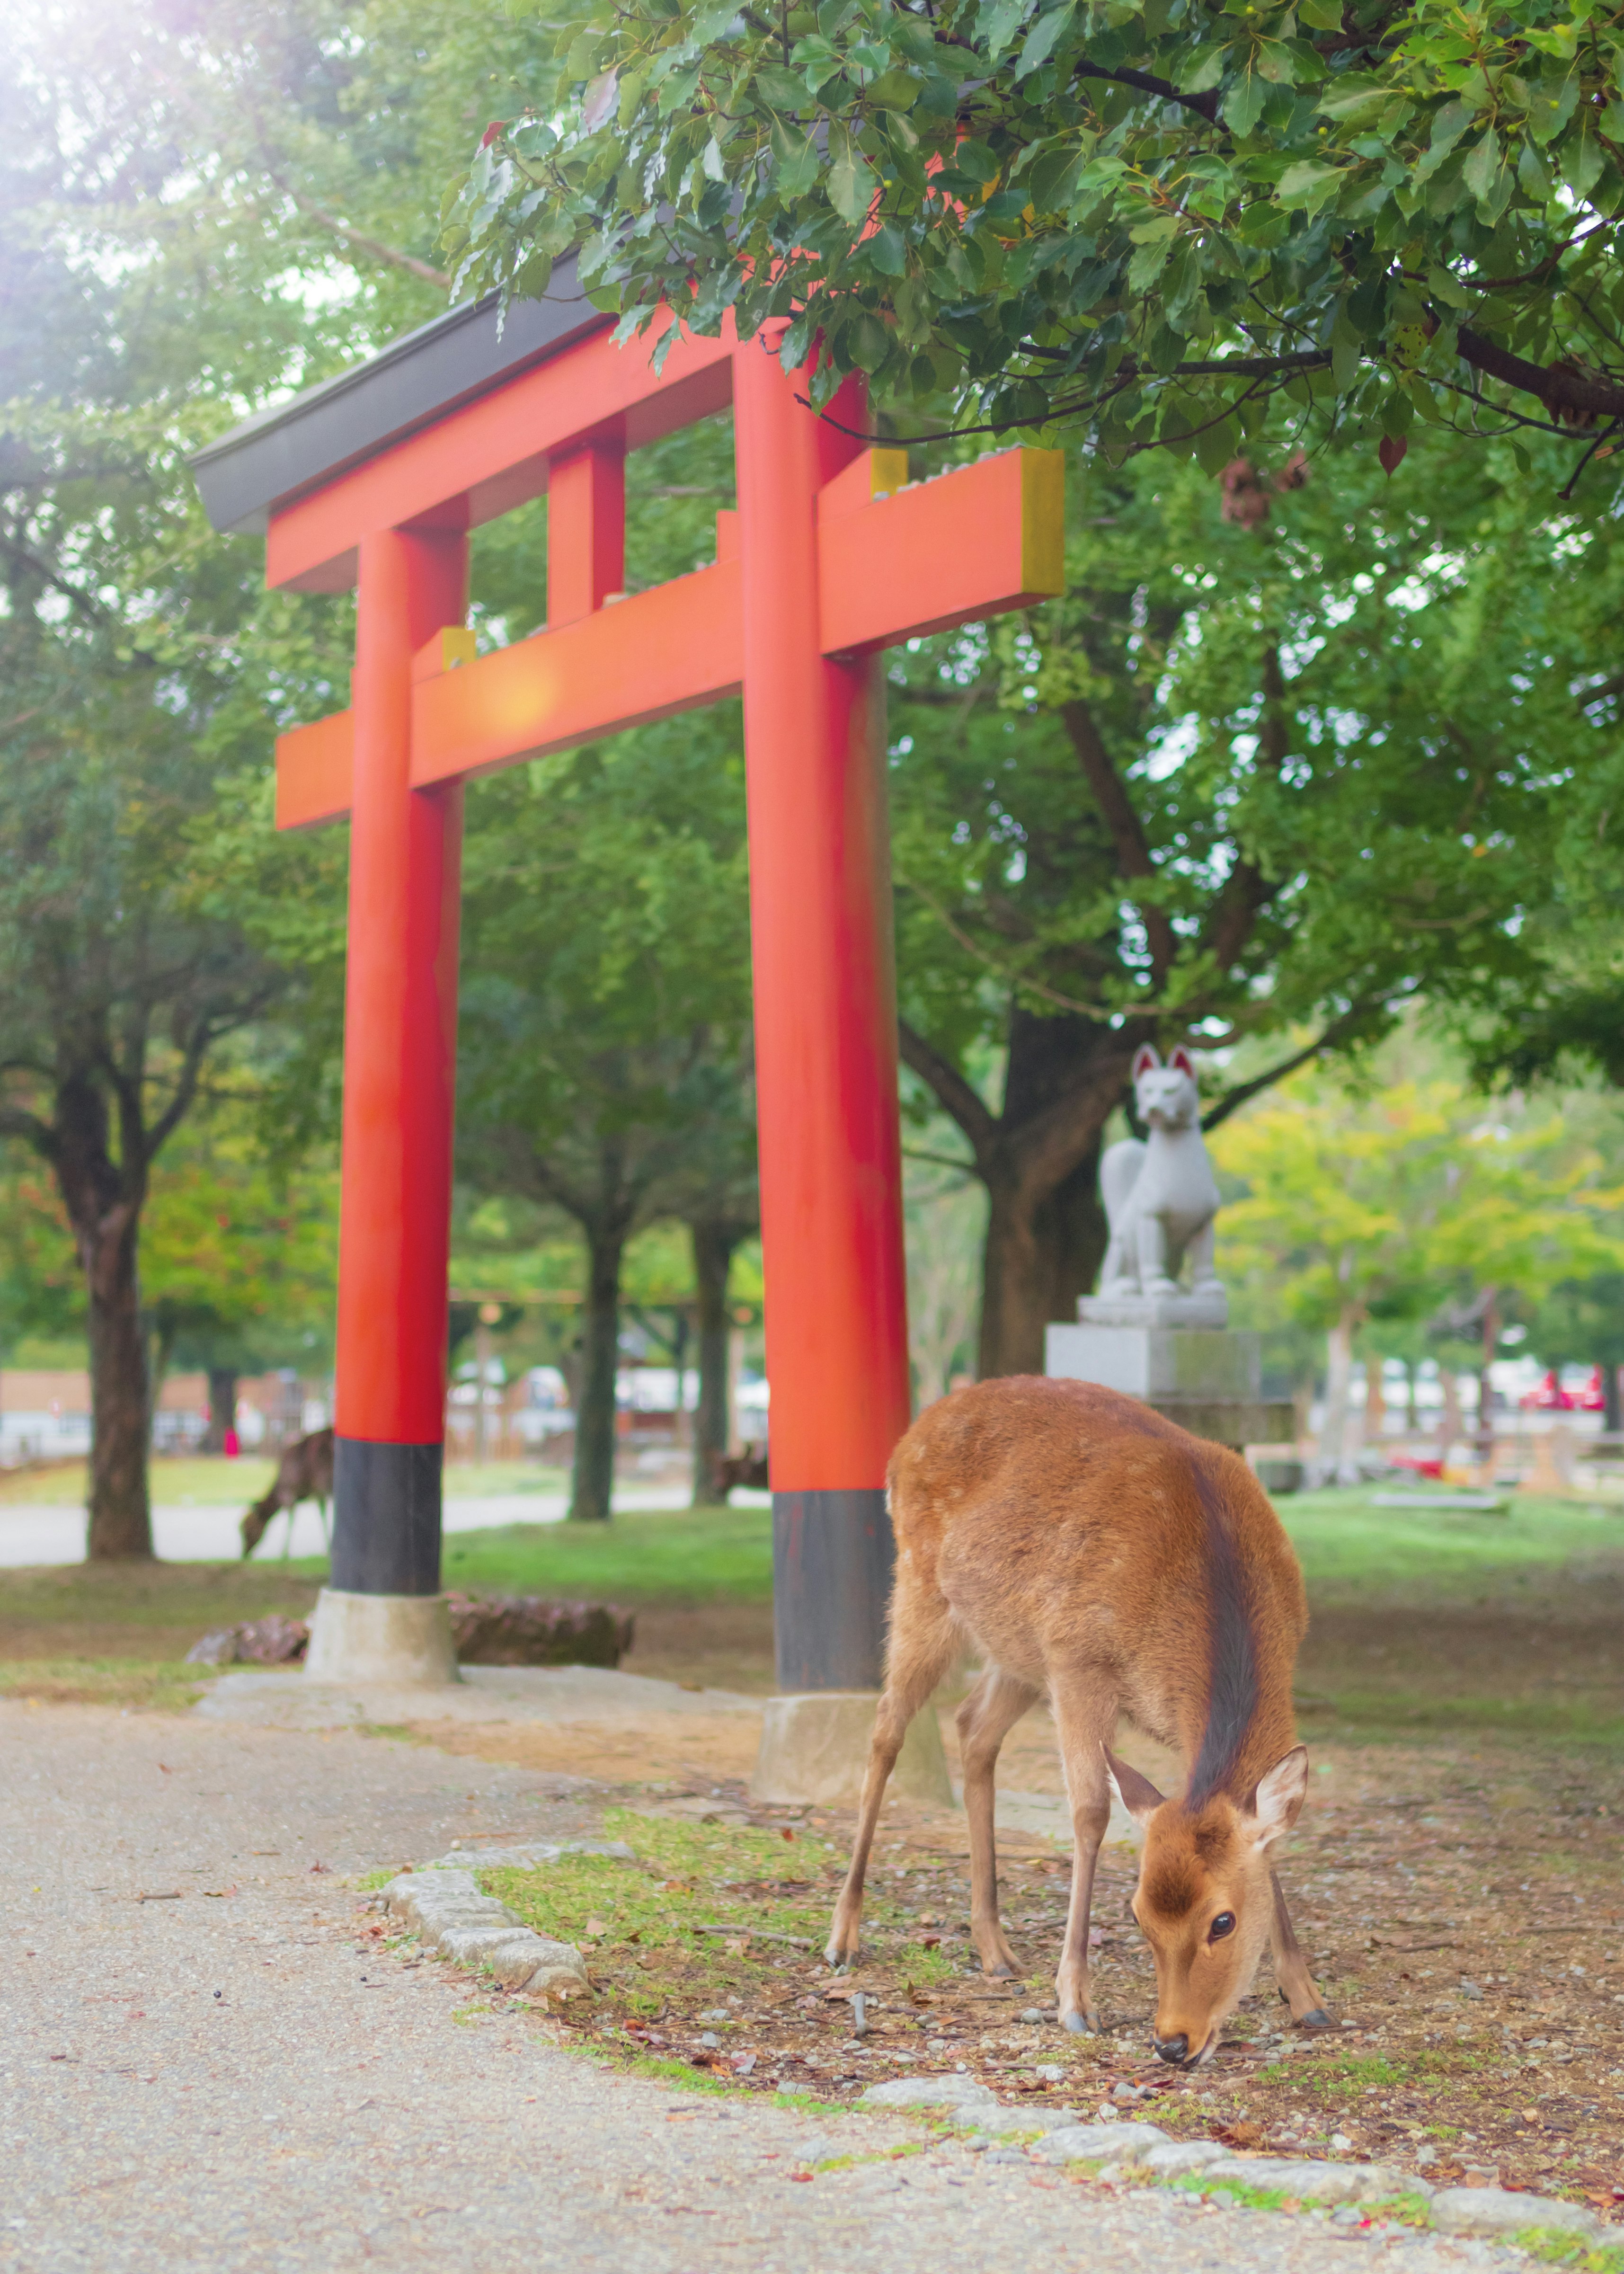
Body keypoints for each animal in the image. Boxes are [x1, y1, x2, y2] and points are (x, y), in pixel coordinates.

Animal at [240, 1427, 335, 1561]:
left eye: (246, 1528)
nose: (244, 1554)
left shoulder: (289, 1491)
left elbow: (291, 1517)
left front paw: (284, 1553)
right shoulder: (316, 1491)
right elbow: (322, 1514)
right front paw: (326, 1549)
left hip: (325, 1477)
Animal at [826, 1376, 1332, 2067]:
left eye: (1222, 1920)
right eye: (1138, 1915)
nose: (1171, 2043)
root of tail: (911, 1434)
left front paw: (1306, 1996)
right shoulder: (1077, 1662)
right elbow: (1090, 1811)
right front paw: (1073, 2000)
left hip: (1015, 1649)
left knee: (972, 1726)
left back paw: (995, 1951)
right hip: (921, 1586)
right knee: (886, 1728)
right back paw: (842, 1938)